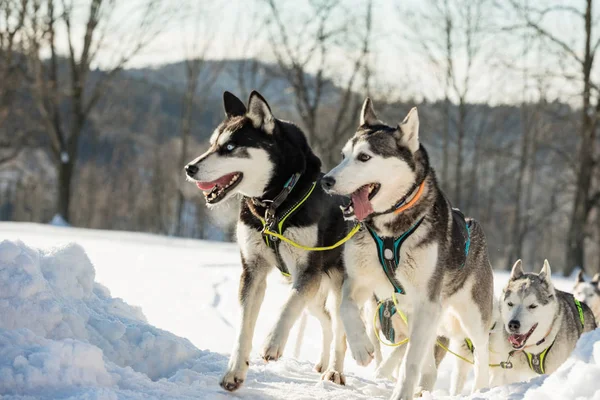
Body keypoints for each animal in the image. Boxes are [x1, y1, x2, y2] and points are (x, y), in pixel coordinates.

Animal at [186, 90, 346, 390]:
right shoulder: (253, 270)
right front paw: (234, 371)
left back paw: (335, 371)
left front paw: (272, 343)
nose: (189, 168)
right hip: (318, 294)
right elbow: (243, 327)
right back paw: (324, 363)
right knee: (328, 321)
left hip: (342, 288)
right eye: (213, 144)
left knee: (343, 328)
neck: (275, 204)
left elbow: (289, 305)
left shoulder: (307, 271)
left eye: (230, 147)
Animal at [318, 98, 492, 398]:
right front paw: (361, 348)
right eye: (343, 156)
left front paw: (401, 393)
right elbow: (345, 307)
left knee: (481, 357)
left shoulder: (426, 303)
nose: (327, 180)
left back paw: (478, 389)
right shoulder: (358, 281)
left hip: (470, 318)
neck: (389, 232)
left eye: (364, 157)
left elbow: (411, 361)